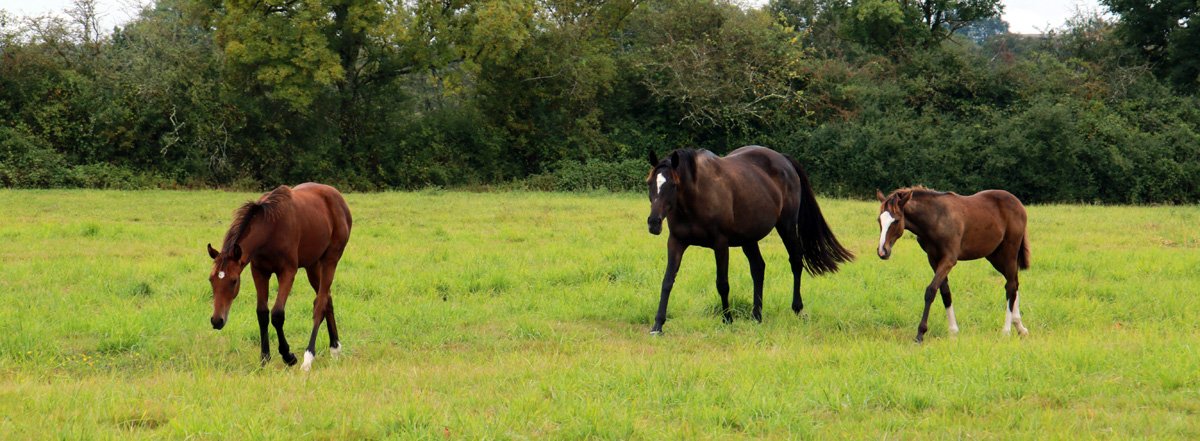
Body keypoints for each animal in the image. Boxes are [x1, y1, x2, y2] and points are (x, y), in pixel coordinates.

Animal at [206, 183, 352, 371]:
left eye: (234, 281)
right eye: (211, 279)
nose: (217, 320)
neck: (271, 228)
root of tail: (338, 198)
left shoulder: (287, 272)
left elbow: (277, 314)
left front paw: (288, 356)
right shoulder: (259, 272)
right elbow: (262, 313)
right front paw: (264, 358)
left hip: (330, 260)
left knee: (320, 304)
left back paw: (308, 358)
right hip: (312, 265)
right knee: (327, 298)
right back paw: (335, 348)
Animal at [644, 146, 854, 334]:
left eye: (673, 185)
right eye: (650, 183)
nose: (654, 223)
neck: (696, 196)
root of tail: (784, 160)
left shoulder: (720, 244)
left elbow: (722, 284)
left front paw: (727, 319)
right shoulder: (676, 242)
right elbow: (667, 281)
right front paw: (658, 324)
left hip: (786, 226)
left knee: (795, 261)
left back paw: (797, 308)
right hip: (749, 238)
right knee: (758, 268)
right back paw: (756, 315)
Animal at [875, 186, 1030, 343]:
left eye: (896, 220)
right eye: (879, 220)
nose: (883, 251)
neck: (936, 218)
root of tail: (1018, 203)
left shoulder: (949, 259)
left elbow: (931, 290)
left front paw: (920, 333)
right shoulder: (933, 259)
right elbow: (945, 292)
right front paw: (953, 331)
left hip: (1009, 252)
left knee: (1011, 286)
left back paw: (1006, 330)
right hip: (994, 256)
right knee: (1014, 282)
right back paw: (1020, 327)